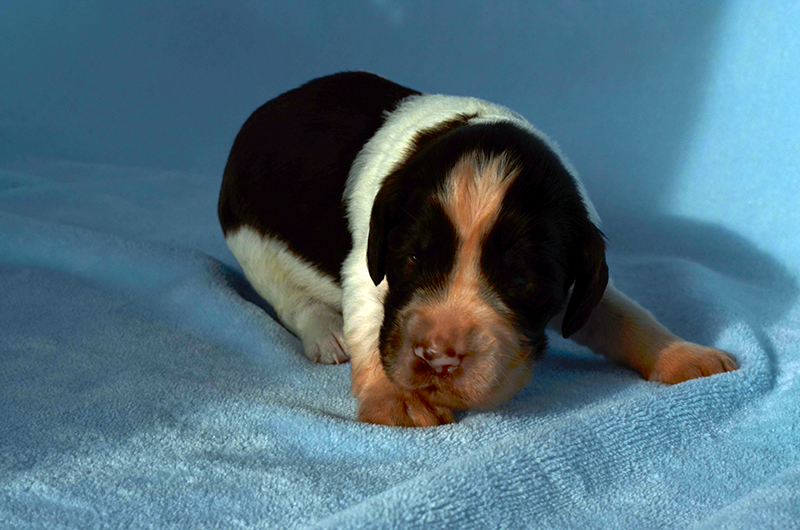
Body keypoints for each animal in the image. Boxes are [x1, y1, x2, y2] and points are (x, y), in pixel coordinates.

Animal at [219, 71, 736, 424]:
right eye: (410, 259)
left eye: (522, 279)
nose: (437, 357)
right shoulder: (366, 264)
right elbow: (369, 323)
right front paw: (398, 399)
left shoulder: (580, 276)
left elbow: (624, 314)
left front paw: (686, 356)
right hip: (251, 242)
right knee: (290, 301)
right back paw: (327, 332)